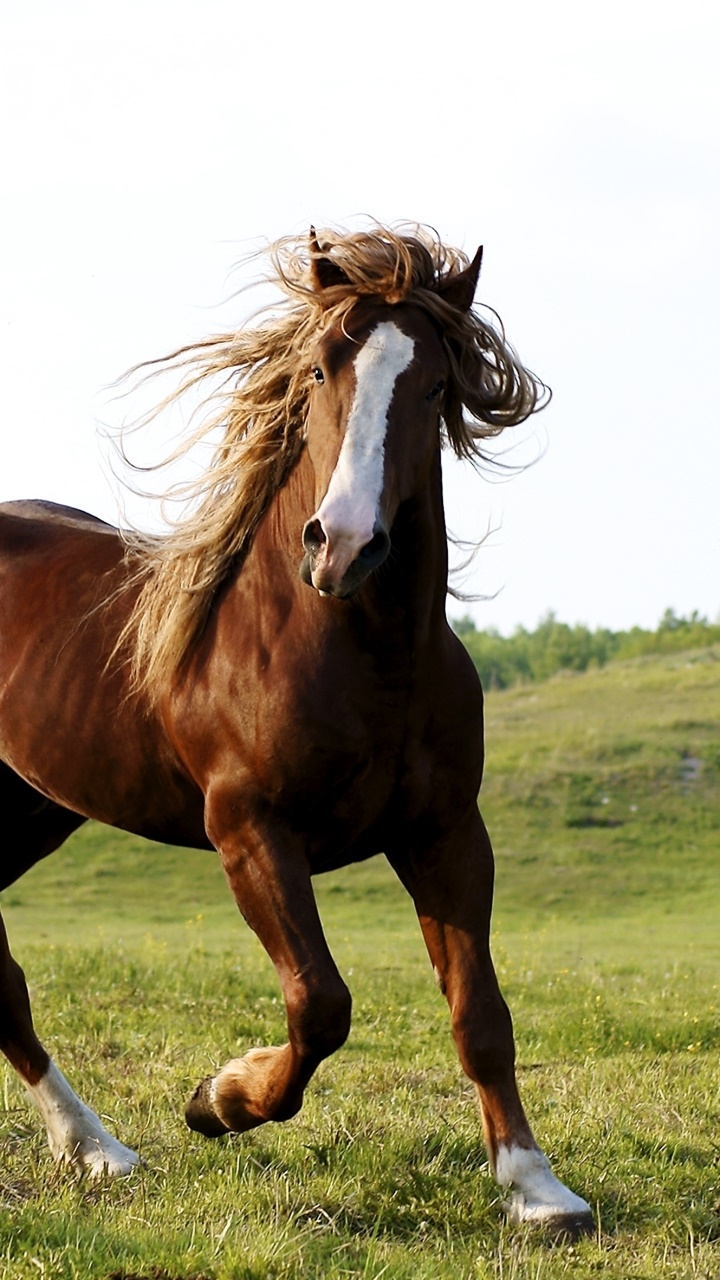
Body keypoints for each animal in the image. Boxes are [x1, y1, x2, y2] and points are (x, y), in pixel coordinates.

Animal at [0, 225, 592, 1235]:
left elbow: (481, 1013)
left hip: (27, 814)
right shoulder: (251, 831)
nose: (344, 545)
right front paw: (219, 1099)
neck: (358, 650)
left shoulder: (446, 835)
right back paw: (102, 1147)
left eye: (436, 383)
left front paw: (536, 1186)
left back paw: (98, 1151)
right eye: (318, 369)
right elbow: (321, 1004)